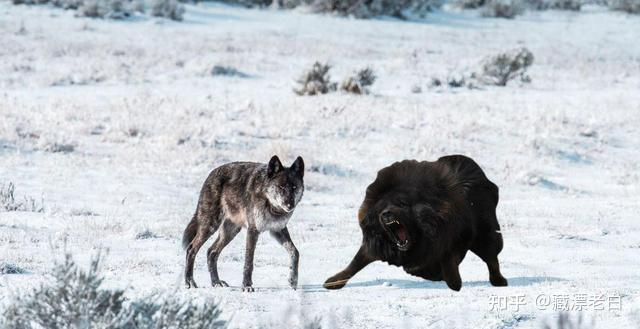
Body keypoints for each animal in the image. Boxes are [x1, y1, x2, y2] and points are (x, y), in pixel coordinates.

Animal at [324, 154, 510, 290]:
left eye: (402, 204)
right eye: (380, 209)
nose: (386, 214)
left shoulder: (447, 241)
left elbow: (447, 262)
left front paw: (453, 282)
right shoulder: (375, 245)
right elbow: (354, 263)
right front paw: (333, 281)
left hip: (486, 235)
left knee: (492, 258)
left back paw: (499, 280)